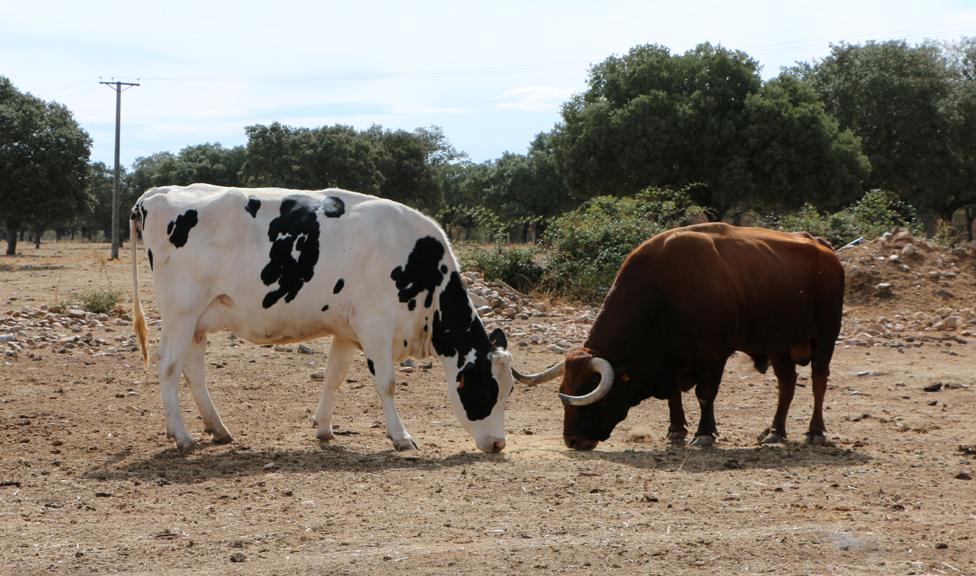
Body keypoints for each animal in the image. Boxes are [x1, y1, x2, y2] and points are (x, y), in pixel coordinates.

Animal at [130, 182, 520, 452]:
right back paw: (182, 436)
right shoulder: (376, 325)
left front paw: (324, 428)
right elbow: (387, 383)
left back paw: (219, 429)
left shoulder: (346, 330)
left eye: (510, 390)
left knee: (193, 371)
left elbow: (334, 376)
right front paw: (401, 436)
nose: (499, 444)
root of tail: (157, 193)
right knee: (169, 366)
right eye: (486, 389)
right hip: (181, 310)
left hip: (200, 318)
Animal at [520, 223, 848, 452]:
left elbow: (705, 394)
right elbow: (674, 395)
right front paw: (676, 429)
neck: (664, 290)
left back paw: (815, 431)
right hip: (780, 344)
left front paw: (704, 434)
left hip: (825, 336)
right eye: (565, 397)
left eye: (591, 402)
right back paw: (776, 431)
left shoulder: (713, 354)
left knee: (818, 380)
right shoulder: (670, 360)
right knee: (787, 385)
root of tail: (823, 247)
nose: (573, 441)